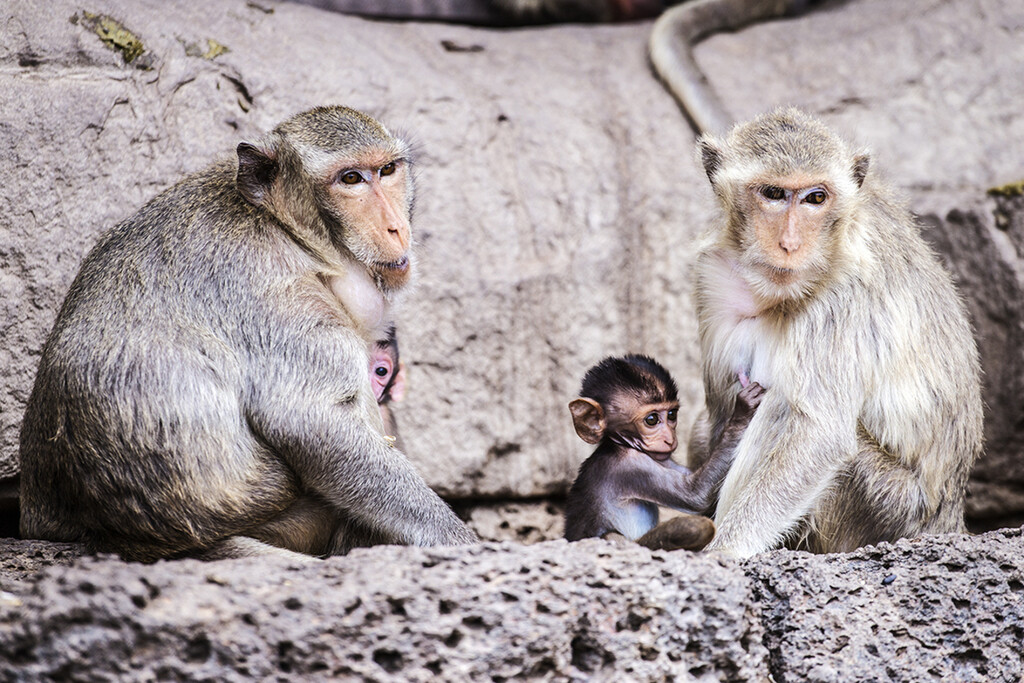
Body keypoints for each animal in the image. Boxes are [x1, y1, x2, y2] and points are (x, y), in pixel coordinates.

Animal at [18, 105, 477, 562]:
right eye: (350, 179)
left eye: (387, 170)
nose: (396, 227)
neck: (291, 233)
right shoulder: (281, 297)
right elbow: (312, 420)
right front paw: (459, 541)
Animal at [564, 354, 764, 551]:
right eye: (652, 419)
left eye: (672, 415)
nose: (670, 439)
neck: (618, 445)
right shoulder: (631, 467)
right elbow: (695, 495)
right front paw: (742, 412)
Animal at [690, 108, 983, 558]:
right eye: (773, 194)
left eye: (816, 198)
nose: (790, 243)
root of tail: (950, 520)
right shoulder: (714, 276)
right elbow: (719, 416)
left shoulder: (846, 295)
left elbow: (819, 435)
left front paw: (723, 551)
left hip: (889, 508)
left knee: (785, 408)